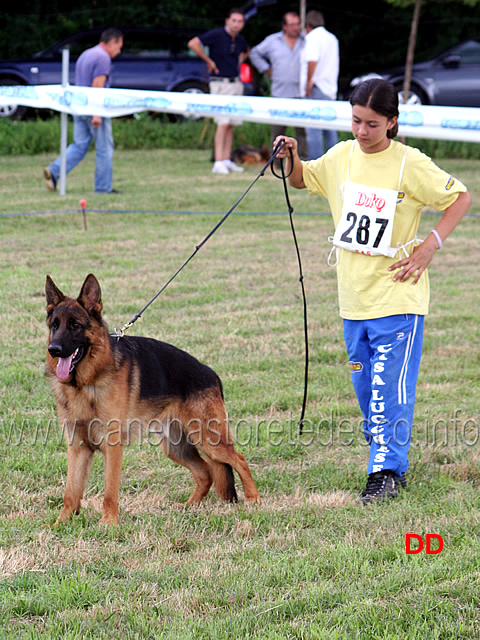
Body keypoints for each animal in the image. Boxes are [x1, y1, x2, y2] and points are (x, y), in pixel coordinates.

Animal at [45, 272, 260, 524]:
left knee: (239, 459)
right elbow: (71, 491)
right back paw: (188, 507)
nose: (53, 349)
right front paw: (60, 523)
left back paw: (254, 499)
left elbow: (109, 492)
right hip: (176, 448)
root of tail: (212, 374)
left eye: (75, 325)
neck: (86, 383)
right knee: (206, 473)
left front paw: (108, 523)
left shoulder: (112, 447)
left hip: (209, 440)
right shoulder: (77, 448)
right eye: (54, 325)